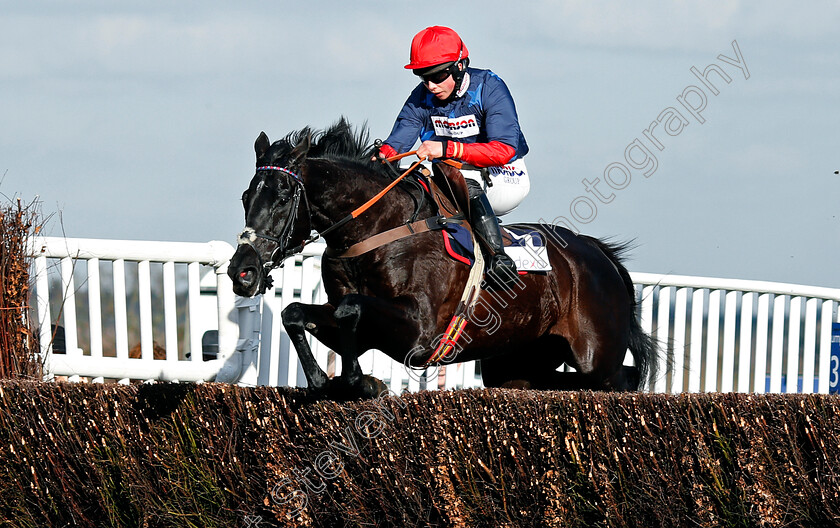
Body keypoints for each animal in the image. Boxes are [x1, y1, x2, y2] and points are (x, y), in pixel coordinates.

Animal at [228, 119, 656, 398]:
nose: (242, 271)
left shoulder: (420, 330)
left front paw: (362, 382)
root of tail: (598, 254)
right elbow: (297, 313)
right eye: (246, 197)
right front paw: (330, 382)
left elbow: (352, 308)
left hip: (597, 360)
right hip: (515, 362)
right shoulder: (357, 326)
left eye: (283, 197)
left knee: (622, 382)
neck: (377, 229)